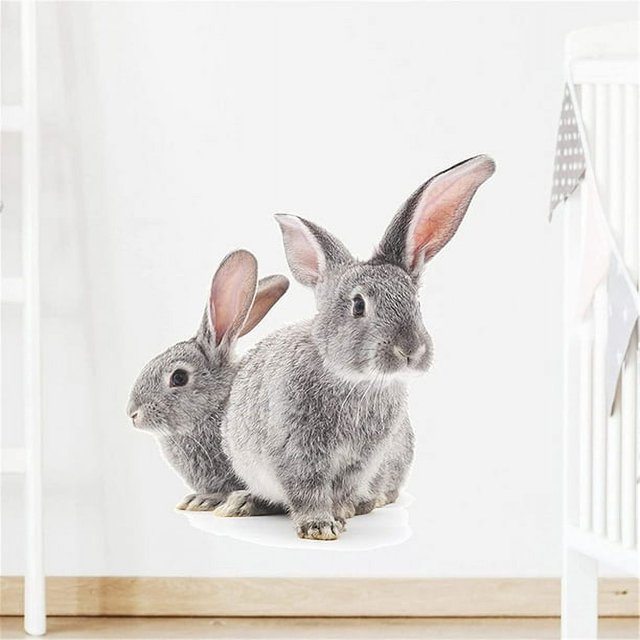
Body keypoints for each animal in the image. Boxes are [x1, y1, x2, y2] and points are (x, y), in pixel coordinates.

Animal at [221, 156, 495, 539]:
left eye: (416, 304)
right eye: (358, 306)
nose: (409, 350)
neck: (356, 381)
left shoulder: (360, 461)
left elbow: (341, 489)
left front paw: (339, 515)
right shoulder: (297, 452)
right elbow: (307, 489)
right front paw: (319, 527)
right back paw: (243, 503)